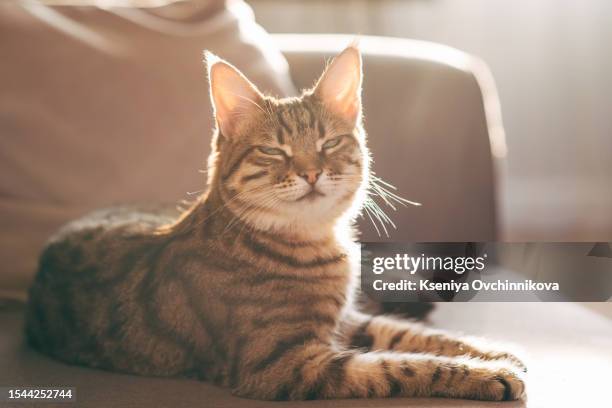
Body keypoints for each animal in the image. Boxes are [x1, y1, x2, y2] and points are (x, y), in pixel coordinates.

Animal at [26, 46, 524, 400]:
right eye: (273, 151)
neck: (316, 242)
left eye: (328, 143)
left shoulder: (349, 320)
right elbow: (398, 364)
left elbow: (414, 334)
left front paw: (491, 350)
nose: (311, 172)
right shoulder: (285, 364)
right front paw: (489, 374)